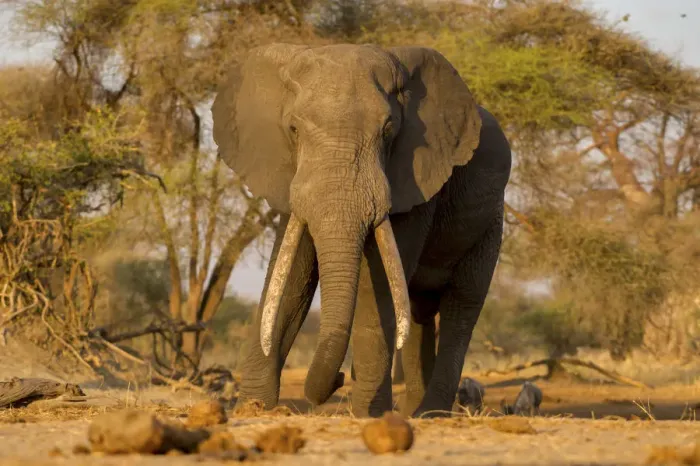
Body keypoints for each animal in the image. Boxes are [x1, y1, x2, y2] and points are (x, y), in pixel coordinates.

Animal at [211, 43, 512, 418]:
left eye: (388, 130)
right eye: (293, 129)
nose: (340, 378)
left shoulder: (415, 178)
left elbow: (377, 284)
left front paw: (368, 414)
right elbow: (292, 278)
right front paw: (253, 408)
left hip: (491, 222)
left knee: (463, 304)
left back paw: (430, 413)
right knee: (418, 310)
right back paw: (412, 412)